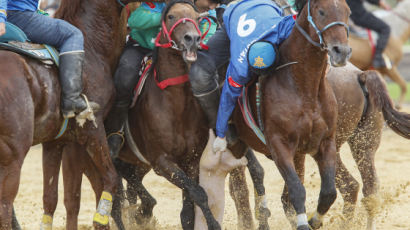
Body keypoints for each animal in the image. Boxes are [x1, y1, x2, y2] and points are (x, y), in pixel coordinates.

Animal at [0, 0, 147, 228]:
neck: (92, 47)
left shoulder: (55, 142)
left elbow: (53, 198)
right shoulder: (90, 130)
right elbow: (109, 180)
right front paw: (101, 218)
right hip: (13, 157)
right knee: (5, 208)